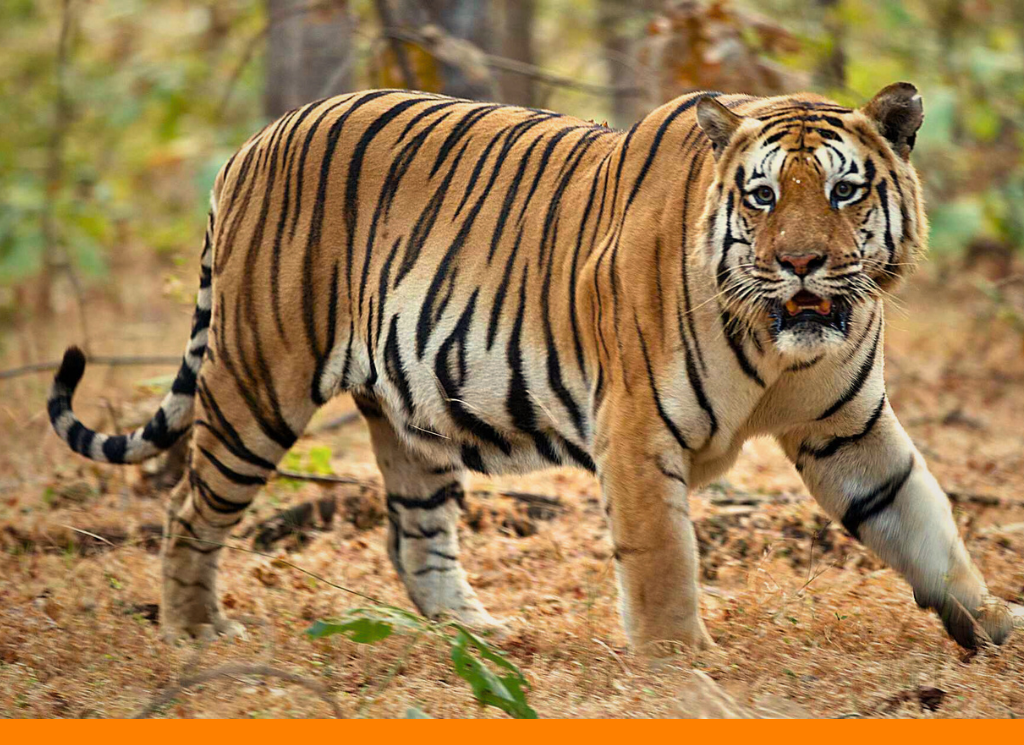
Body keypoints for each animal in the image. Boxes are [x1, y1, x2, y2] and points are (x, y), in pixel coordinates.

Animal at [47, 83, 1014, 652]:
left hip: (413, 416)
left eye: (846, 191)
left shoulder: (849, 429)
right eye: (763, 195)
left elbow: (923, 522)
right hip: (258, 380)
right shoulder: (636, 428)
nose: (804, 263)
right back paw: (196, 633)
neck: (780, 347)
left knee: (415, 536)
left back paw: (480, 634)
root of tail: (252, 142)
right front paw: (682, 674)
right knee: (188, 509)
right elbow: (662, 563)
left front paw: (999, 622)